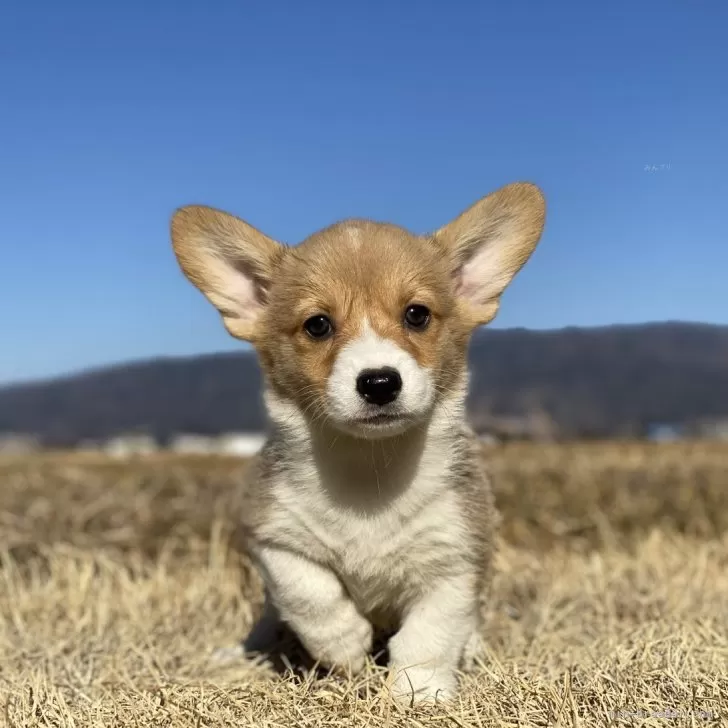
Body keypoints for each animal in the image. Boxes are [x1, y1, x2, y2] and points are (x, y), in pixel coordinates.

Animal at [169, 182, 544, 704]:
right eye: (317, 325)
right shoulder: (275, 537)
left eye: (416, 314)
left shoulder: (455, 557)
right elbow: (310, 595)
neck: (370, 467)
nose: (379, 382)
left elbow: (431, 633)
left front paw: (418, 691)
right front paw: (346, 647)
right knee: (271, 619)